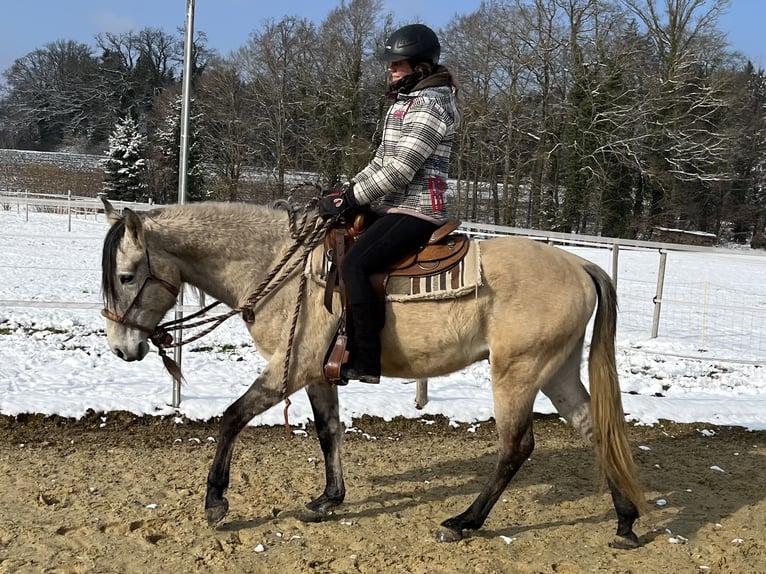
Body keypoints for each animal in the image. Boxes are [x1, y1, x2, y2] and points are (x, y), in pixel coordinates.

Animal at [97, 198, 648, 548]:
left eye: (126, 275)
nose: (122, 349)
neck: (278, 267)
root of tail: (581, 266)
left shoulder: (289, 369)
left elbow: (231, 418)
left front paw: (216, 502)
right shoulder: (317, 374)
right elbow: (328, 431)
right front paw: (328, 499)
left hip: (516, 374)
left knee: (516, 447)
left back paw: (463, 522)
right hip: (556, 372)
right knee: (594, 429)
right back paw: (625, 522)